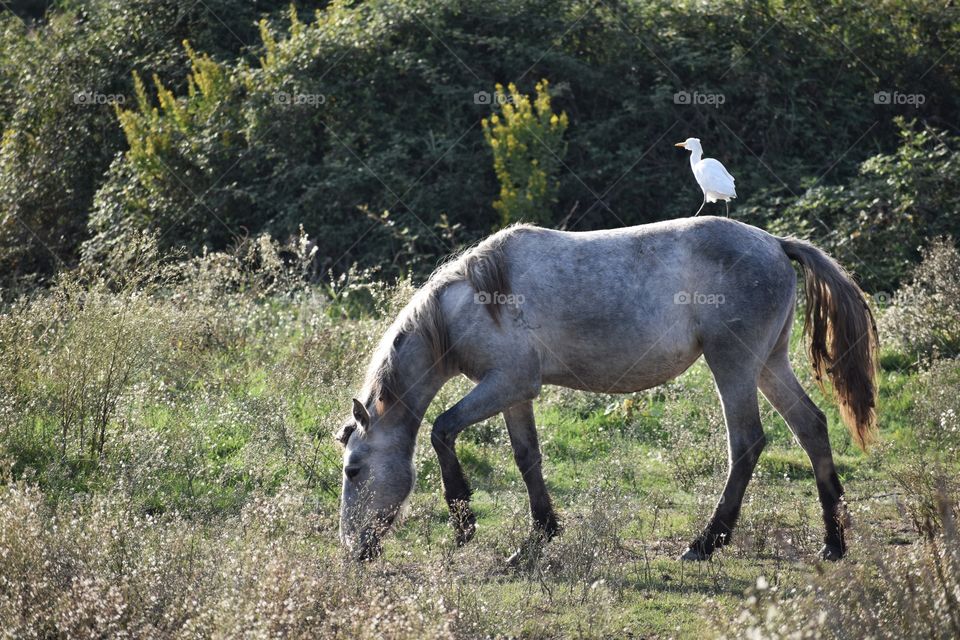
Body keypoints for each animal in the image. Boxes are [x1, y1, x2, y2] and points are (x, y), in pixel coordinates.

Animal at [335, 216, 877, 563]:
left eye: (353, 470)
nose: (353, 549)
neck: (472, 301)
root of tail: (774, 244)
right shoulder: (515, 394)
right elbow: (527, 458)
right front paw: (538, 537)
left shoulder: (506, 383)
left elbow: (442, 430)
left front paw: (465, 524)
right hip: (769, 365)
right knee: (811, 428)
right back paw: (833, 543)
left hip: (734, 367)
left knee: (746, 443)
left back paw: (706, 542)